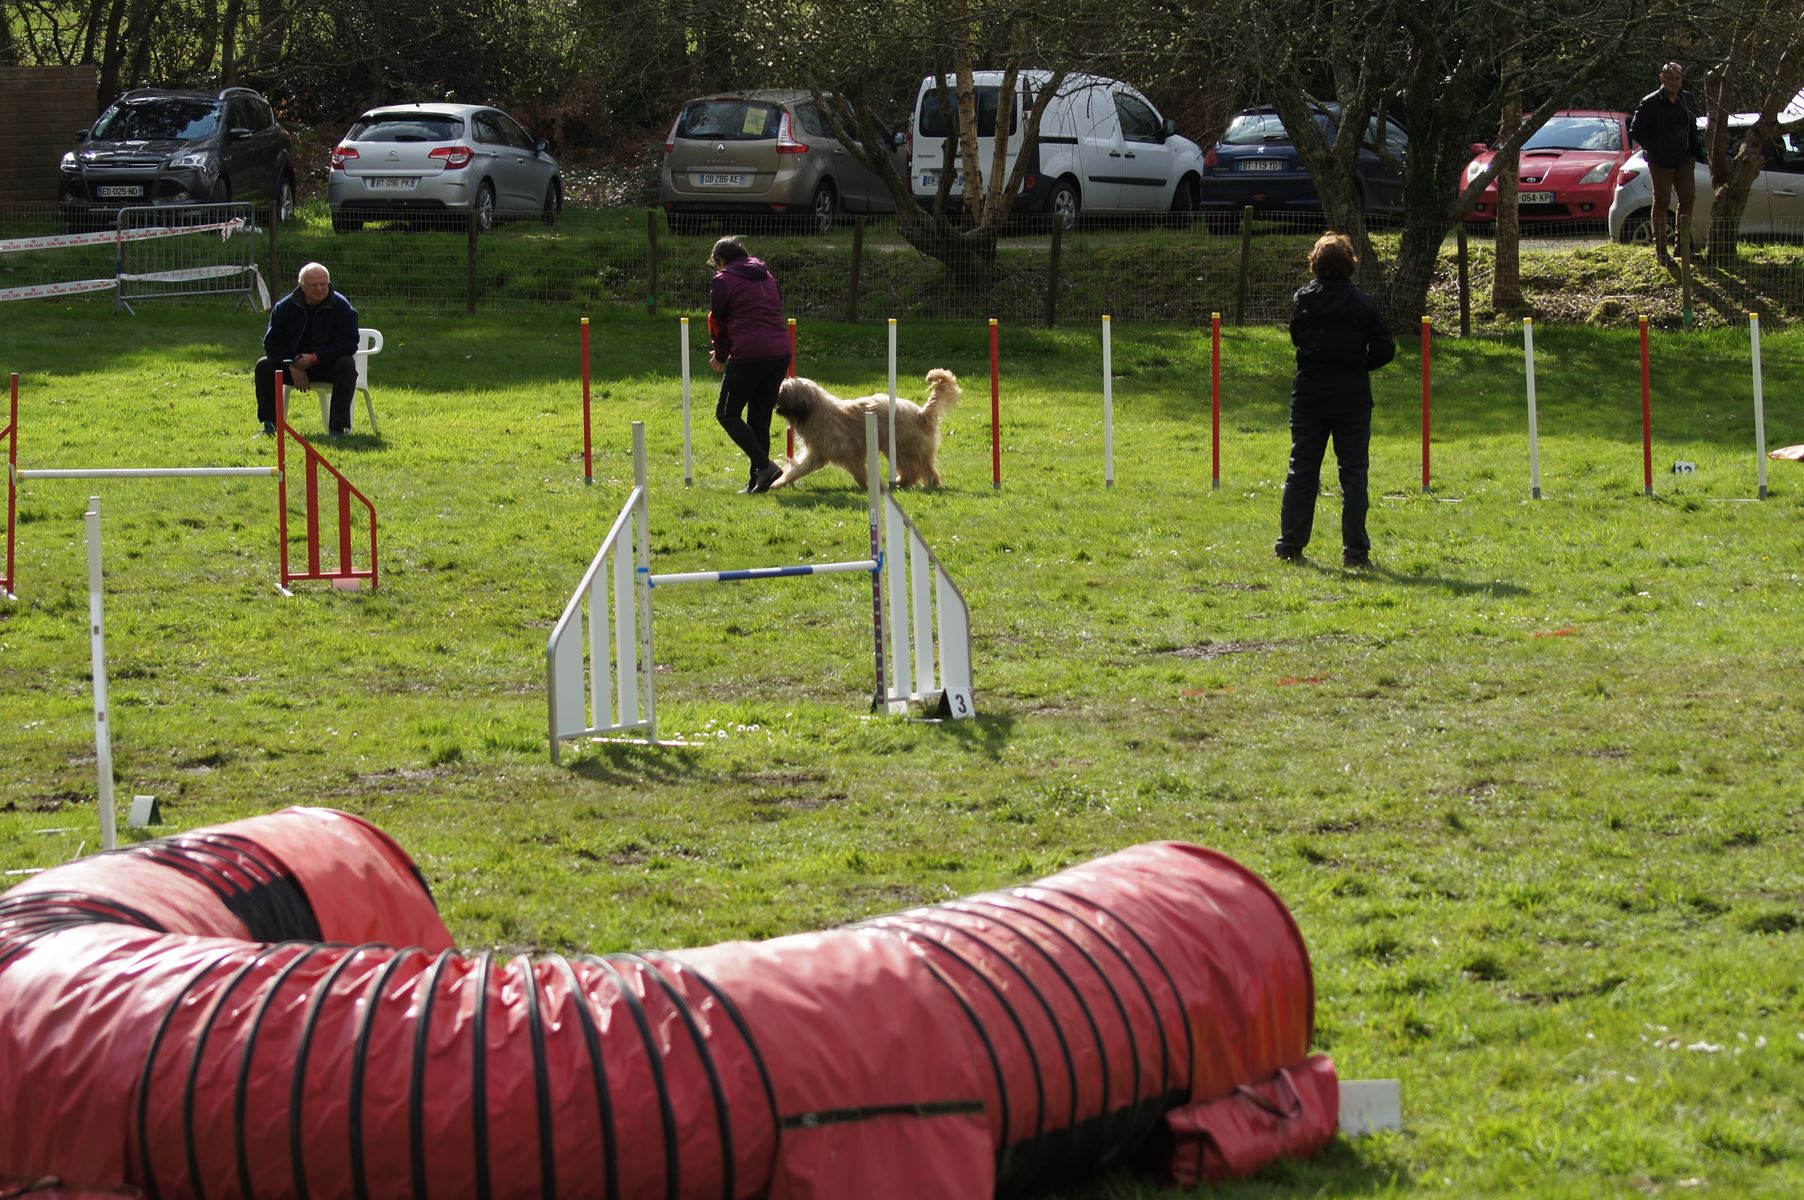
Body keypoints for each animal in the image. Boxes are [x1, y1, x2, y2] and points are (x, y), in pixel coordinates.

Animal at [772, 369, 966, 490]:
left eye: (785, 390)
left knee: (913, 469)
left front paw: (869, 486)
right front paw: (780, 482)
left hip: (901, 447)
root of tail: (921, 413)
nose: (775, 390)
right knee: (927, 469)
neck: (816, 412)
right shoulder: (817, 455)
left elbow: (859, 472)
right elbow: (798, 469)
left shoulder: (849, 452)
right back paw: (928, 483)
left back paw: (902, 482)